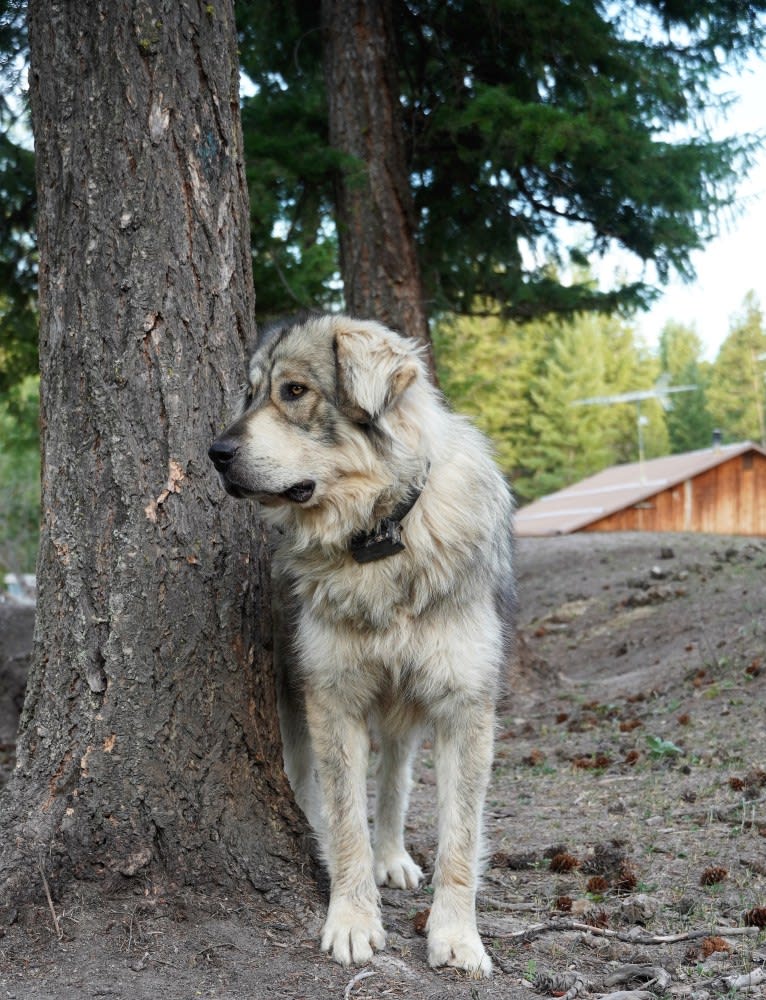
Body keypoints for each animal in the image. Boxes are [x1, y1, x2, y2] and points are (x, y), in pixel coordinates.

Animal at [208, 312, 516, 976]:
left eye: (294, 391)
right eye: (250, 394)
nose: (214, 453)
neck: (381, 532)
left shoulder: (464, 707)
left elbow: (459, 839)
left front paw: (456, 936)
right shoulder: (331, 700)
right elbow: (347, 817)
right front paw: (351, 919)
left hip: (404, 711)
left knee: (395, 780)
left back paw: (392, 856)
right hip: (293, 702)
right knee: (312, 788)